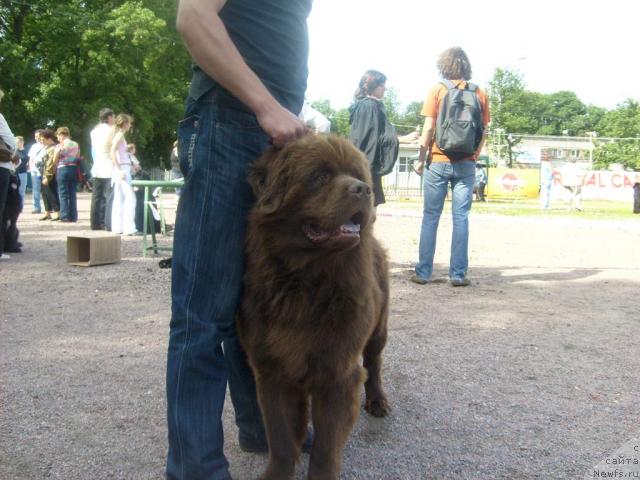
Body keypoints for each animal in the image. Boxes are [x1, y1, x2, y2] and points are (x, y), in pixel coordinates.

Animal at [238, 134, 390, 480]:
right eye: (319, 176)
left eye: (357, 174)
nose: (364, 189)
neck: (306, 283)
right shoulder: (271, 370)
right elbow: (280, 438)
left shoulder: (337, 372)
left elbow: (326, 447)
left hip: (379, 326)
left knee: (374, 362)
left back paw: (378, 401)